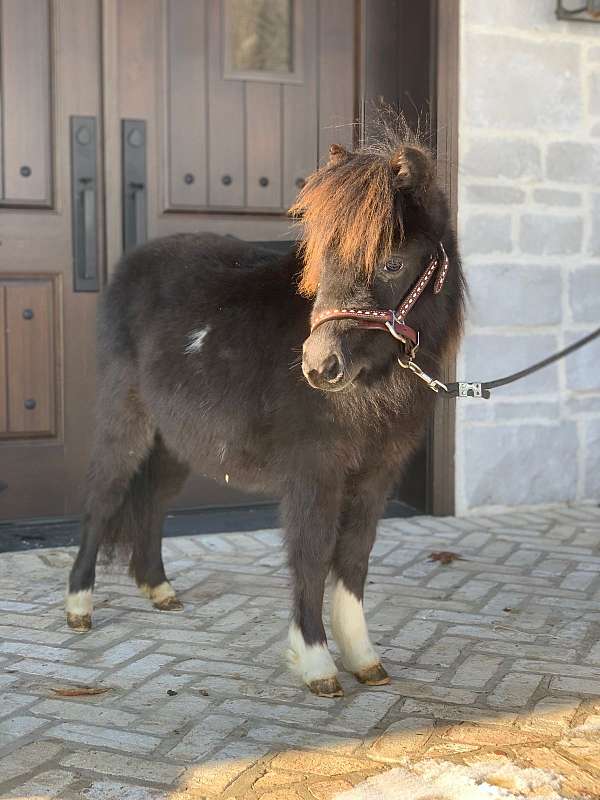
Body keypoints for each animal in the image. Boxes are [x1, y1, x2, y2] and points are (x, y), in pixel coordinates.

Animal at [66, 128, 465, 698]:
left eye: (392, 263)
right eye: (322, 259)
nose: (319, 366)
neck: (372, 385)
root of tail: (129, 267)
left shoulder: (376, 476)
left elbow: (354, 558)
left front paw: (365, 660)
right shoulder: (313, 472)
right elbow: (311, 555)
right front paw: (317, 662)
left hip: (174, 443)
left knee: (154, 502)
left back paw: (160, 591)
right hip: (126, 423)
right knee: (103, 498)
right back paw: (78, 607)